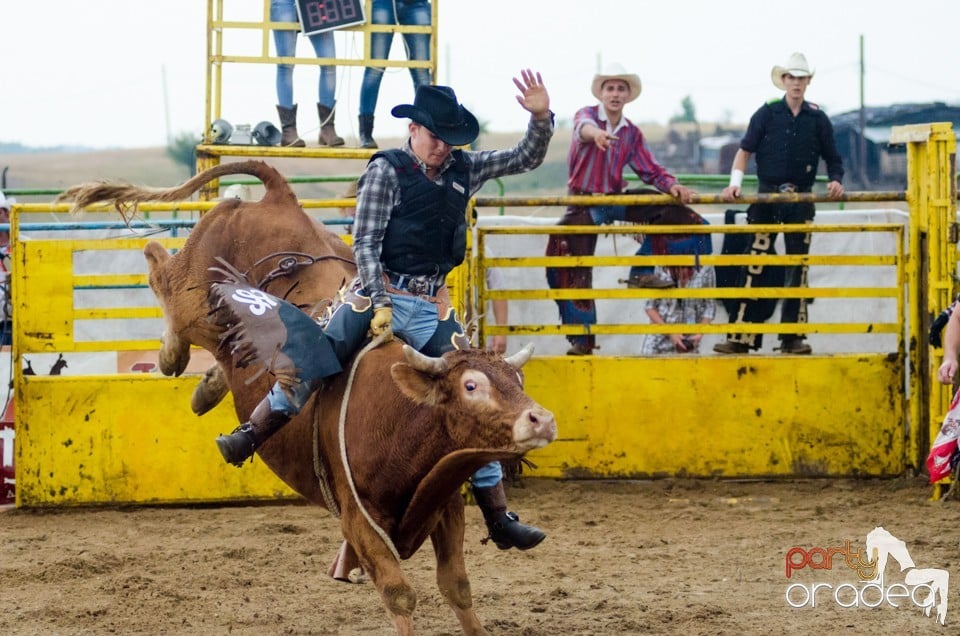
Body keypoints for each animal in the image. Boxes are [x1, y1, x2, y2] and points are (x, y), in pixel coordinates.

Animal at [58, 161, 556, 632]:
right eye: (471, 386)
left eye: (517, 380)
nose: (542, 420)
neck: (399, 418)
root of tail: (278, 196)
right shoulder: (359, 522)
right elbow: (400, 595)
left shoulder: (446, 499)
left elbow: (456, 586)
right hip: (192, 296)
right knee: (160, 270)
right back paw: (172, 356)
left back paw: (209, 386)